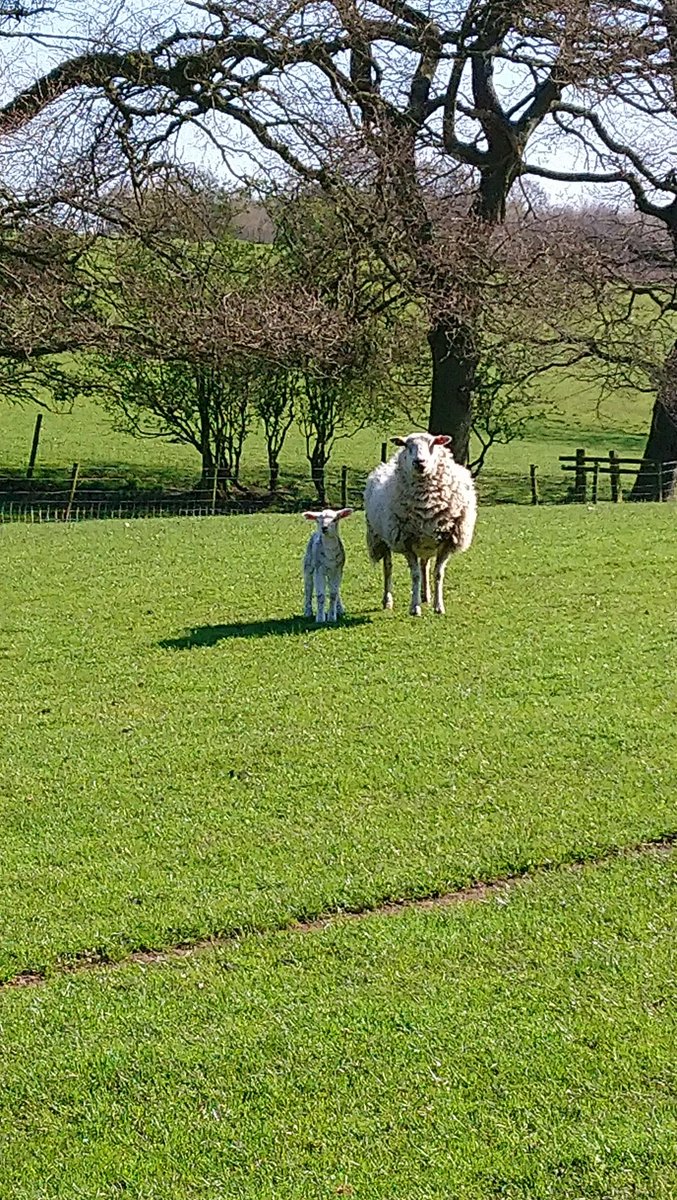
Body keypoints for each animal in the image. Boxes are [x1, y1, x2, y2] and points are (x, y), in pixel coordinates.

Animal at [364, 432, 477, 616]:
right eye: (406, 445)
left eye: (433, 443)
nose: (419, 462)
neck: (427, 503)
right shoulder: (406, 542)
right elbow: (415, 575)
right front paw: (414, 607)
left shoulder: (447, 542)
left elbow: (438, 574)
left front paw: (439, 606)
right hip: (380, 537)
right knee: (388, 567)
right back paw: (388, 600)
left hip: (426, 542)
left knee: (425, 565)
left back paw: (426, 596)